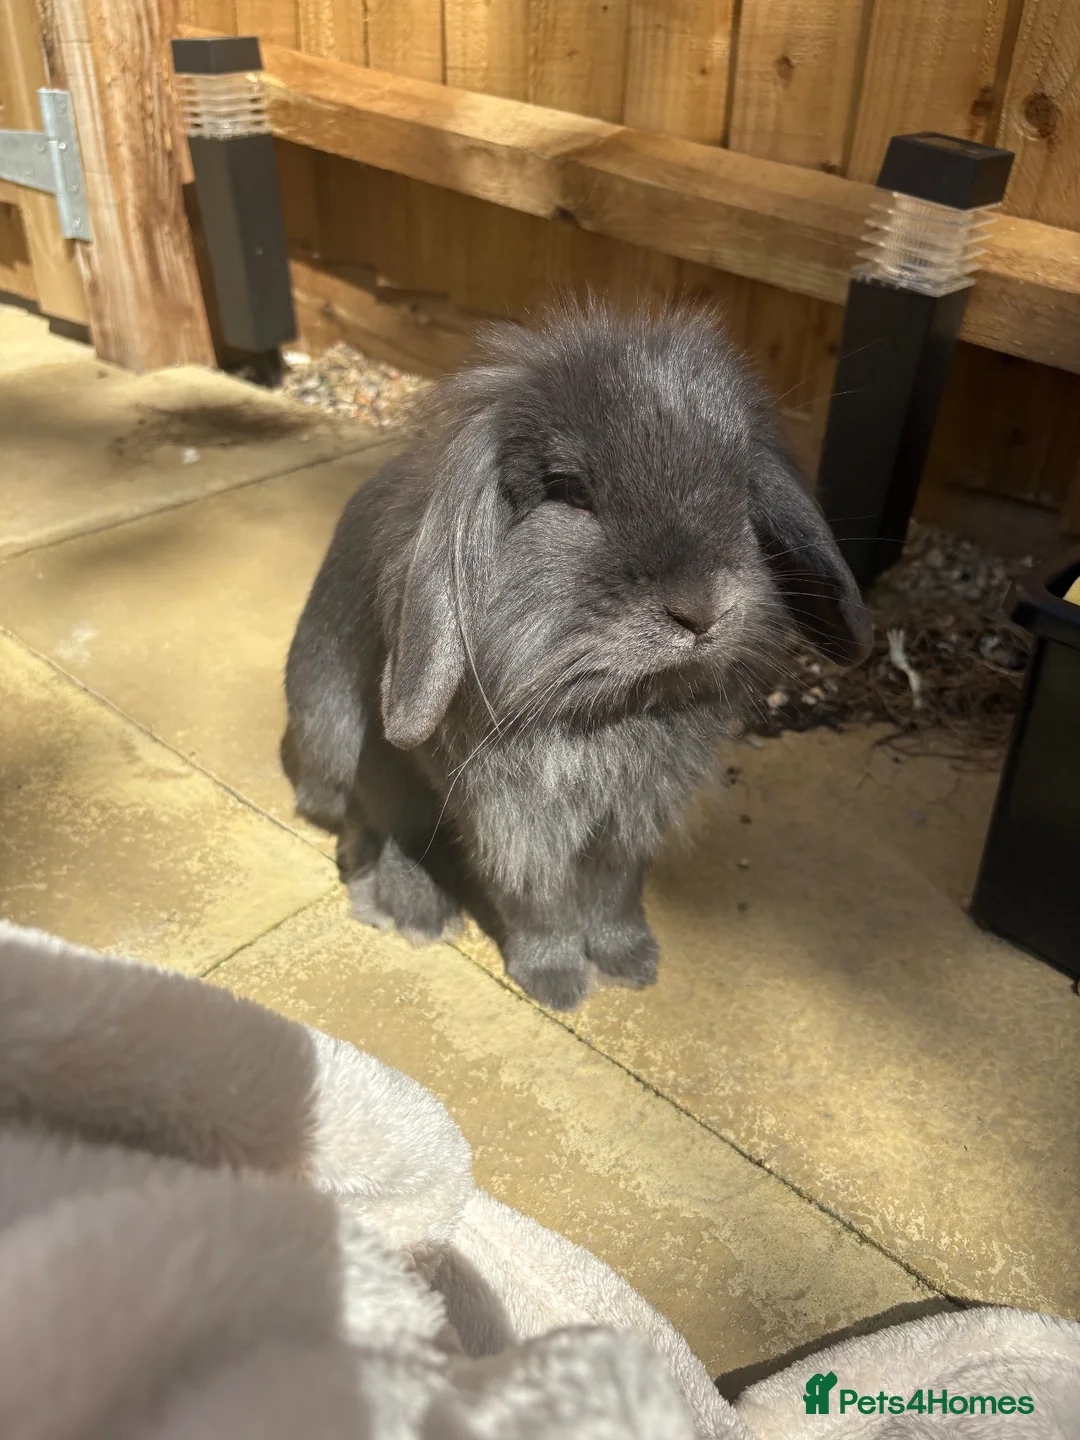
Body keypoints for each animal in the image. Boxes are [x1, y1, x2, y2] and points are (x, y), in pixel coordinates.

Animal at [281, 301, 871, 1011]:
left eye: (740, 487)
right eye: (570, 492)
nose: (703, 610)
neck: (606, 712)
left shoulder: (630, 820)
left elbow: (615, 894)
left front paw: (633, 964)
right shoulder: (515, 822)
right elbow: (539, 902)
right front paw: (555, 984)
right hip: (347, 742)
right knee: (377, 827)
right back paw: (412, 912)